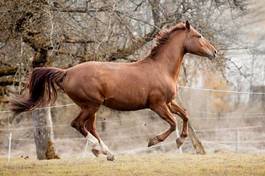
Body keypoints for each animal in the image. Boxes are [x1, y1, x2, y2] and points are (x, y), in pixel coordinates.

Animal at [10, 21, 217, 161]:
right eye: (199, 36)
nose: (214, 52)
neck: (161, 68)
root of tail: (67, 72)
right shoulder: (157, 105)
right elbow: (173, 122)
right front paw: (154, 141)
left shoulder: (169, 102)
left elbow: (185, 115)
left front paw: (181, 140)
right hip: (91, 105)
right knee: (78, 125)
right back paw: (99, 150)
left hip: (91, 107)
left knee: (89, 127)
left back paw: (106, 152)